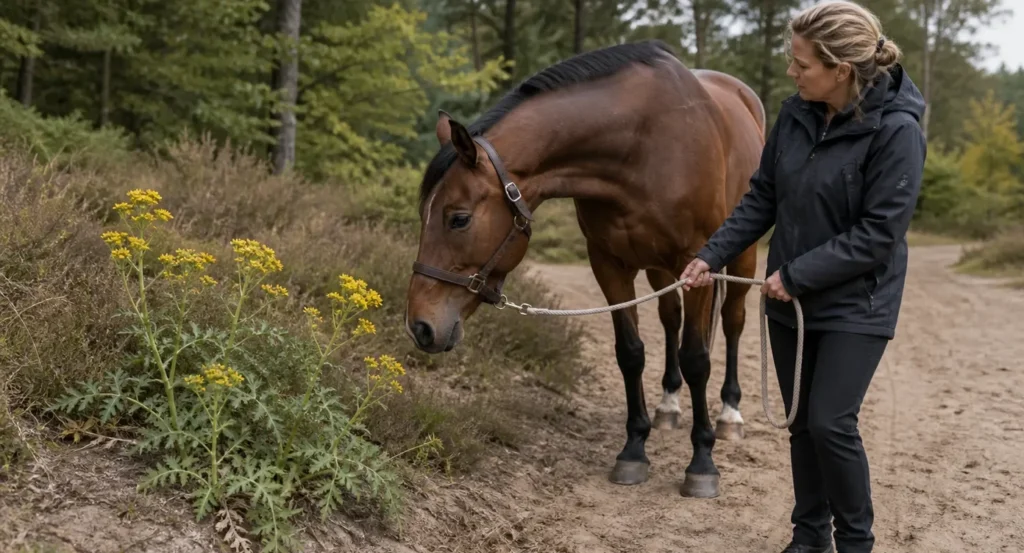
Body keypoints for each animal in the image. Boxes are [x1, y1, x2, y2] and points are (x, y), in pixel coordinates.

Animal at [404, 39, 766, 498]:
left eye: (459, 219)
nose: (420, 326)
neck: (641, 146)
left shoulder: (697, 263)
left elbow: (697, 358)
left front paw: (702, 462)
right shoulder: (608, 264)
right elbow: (630, 353)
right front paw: (633, 449)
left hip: (741, 254)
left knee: (733, 321)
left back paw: (729, 414)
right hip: (660, 270)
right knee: (670, 319)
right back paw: (668, 405)